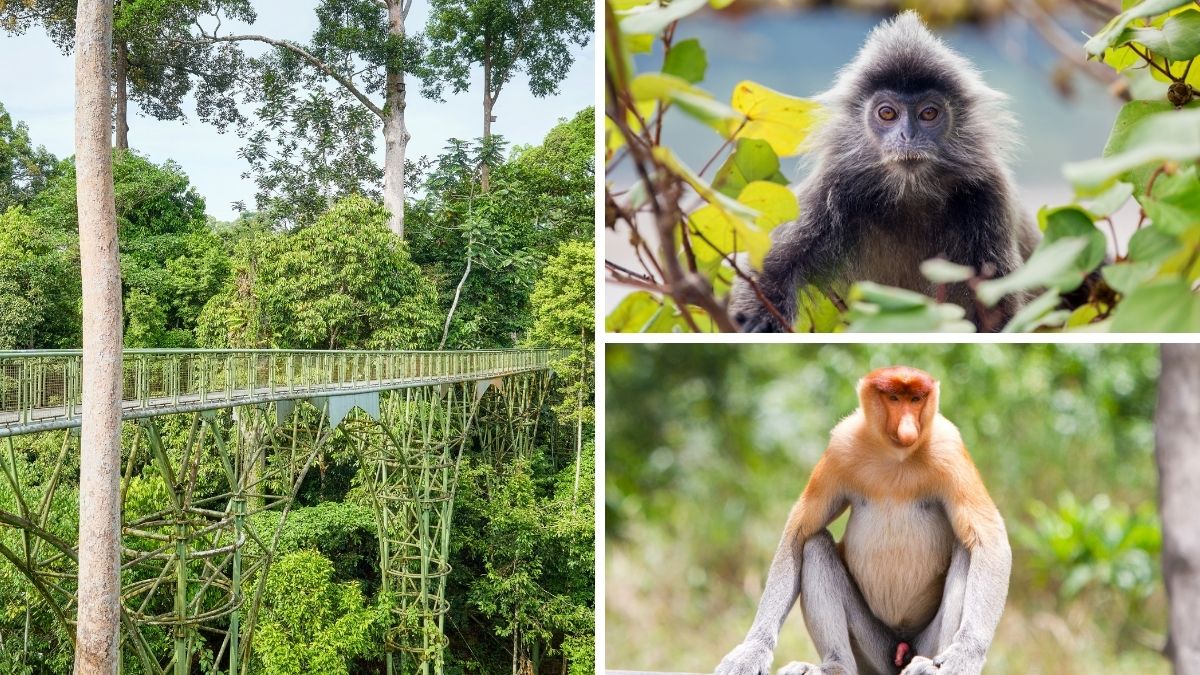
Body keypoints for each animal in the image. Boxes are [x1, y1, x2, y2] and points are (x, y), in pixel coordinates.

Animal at [714, 366, 1011, 675]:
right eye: (894, 398)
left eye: (916, 399)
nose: (907, 429)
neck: (897, 457)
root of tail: (901, 649)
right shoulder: (840, 447)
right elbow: (799, 531)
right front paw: (750, 653)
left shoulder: (950, 449)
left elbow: (989, 540)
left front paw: (965, 656)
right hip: (872, 649)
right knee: (816, 545)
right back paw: (835, 666)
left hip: (923, 642)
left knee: (967, 551)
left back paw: (928, 666)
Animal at [729, 12, 1040, 332]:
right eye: (887, 113)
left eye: (929, 113)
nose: (908, 135)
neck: (910, 192)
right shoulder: (832, 184)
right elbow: (770, 266)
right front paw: (754, 322)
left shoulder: (989, 190)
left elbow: (998, 309)